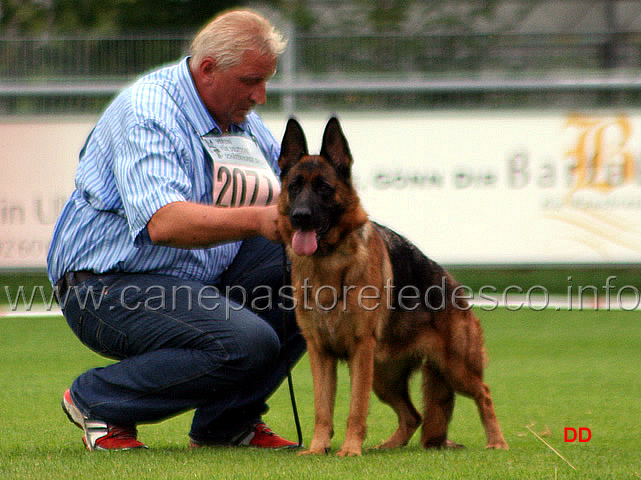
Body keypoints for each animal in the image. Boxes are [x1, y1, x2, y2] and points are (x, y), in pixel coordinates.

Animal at [278, 117, 508, 458]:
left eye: (324, 189)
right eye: (294, 187)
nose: (300, 217)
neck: (328, 262)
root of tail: (453, 285)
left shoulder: (360, 349)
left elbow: (356, 408)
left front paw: (350, 449)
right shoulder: (320, 352)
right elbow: (323, 409)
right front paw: (319, 449)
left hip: (454, 368)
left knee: (485, 393)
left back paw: (497, 441)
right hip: (384, 377)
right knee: (414, 415)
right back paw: (388, 446)